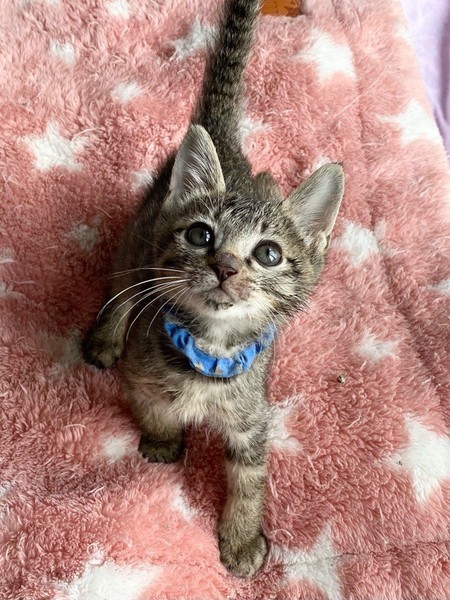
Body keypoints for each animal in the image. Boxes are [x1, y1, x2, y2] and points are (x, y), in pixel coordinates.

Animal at [83, 0, 344, 577]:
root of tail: (227, 143)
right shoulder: (142, 376)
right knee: (122, 288)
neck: (211, 351)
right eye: (202, 235)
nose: (225, 266)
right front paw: (163, 441)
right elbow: (155, 408)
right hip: (138, 243)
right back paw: (104, 337)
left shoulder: (253, 419)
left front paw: (242, 537)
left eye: (268, 253)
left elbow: (250, 477)